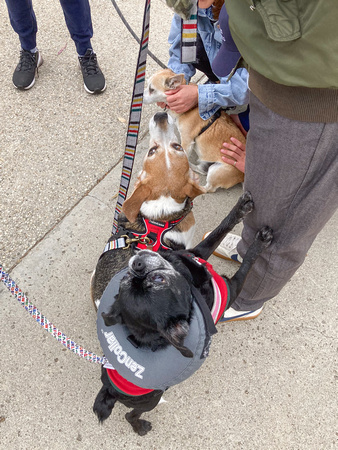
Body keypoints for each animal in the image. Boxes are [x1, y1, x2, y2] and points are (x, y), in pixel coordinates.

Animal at [92, 192, 272, 434]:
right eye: (159, 279)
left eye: (126, 278)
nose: (135, 263)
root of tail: (108, 389)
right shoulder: (232, 287)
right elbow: (248, 263)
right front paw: (261, 241)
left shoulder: (197, 253)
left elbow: (219, 231)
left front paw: (241, 208)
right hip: (150, 401)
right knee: (131, 415)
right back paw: (141, 427)